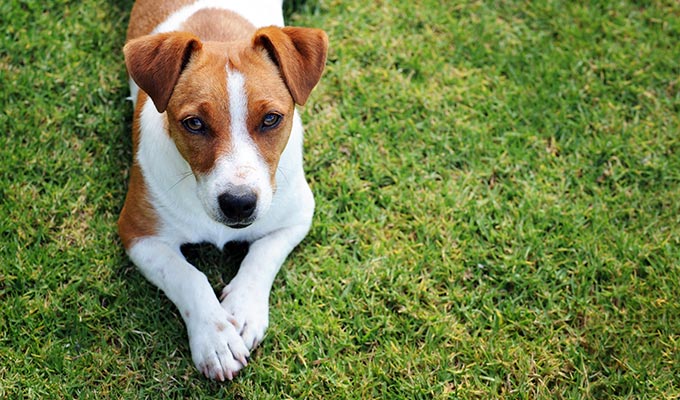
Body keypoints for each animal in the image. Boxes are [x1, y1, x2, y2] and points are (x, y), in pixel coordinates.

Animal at [118, 0, 328, 382]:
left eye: (271, 119)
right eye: (194, 123)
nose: (239, 204)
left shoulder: (297, 216)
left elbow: (261, 257)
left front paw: (243, 310)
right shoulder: (139, 234)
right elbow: (188, 276)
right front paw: (215, 338)